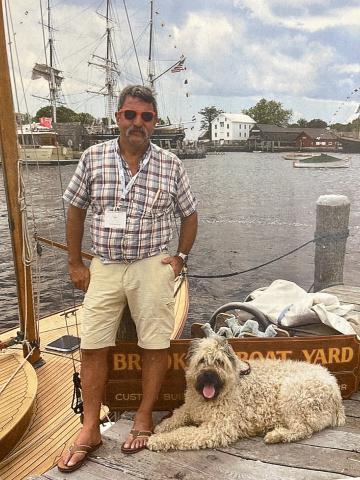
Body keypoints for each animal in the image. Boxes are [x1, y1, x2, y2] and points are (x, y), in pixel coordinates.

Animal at [147, 336, 346, 452]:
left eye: (219, 362)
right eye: (202, 360)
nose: (209, 375)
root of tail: (335, 390)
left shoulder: (216, 428)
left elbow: (182, 433)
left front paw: (158, 439)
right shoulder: (190, 407)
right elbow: (178, 415)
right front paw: (163, 426)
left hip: (293, 396)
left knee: (302, 429)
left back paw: (276, 435)